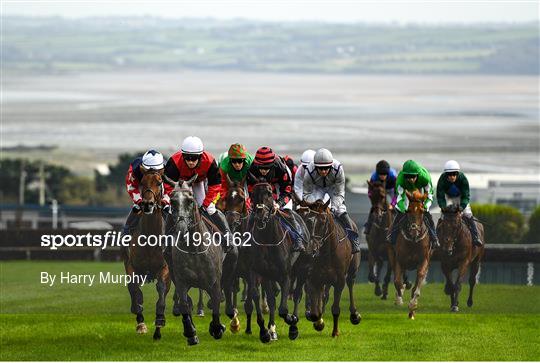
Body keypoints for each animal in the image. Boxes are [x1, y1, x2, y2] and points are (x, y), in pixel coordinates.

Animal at [121, 169, 170, 340]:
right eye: (142, 182)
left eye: (159, 182)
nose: (148, 204)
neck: (150, 236)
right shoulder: (132, 266)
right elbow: (135, 289)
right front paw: (141, 323)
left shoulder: (165, 268)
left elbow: (161, 290)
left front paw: (159, 325)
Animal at [171, 177, 226, 346]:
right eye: (172, 201)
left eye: (190, 200)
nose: (181, 229)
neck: (194, 249)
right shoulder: (181, 281)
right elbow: (184, 304)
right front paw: (191, 333)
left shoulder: (214, 282)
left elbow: (216, 302)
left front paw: (217, 328)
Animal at [248, 181, 300, 344]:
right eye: (253, 194)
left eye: (269, 193)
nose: (260, 216)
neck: (268, 240)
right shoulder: (260, 272)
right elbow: (259, 296)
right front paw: (265, 332)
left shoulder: (286, 274)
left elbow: (283, 309)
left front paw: (291, 319)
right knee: (272, 299)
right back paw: (272, 330)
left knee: (297, 294)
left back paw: (294, 326)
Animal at [298, 199, 360, 338]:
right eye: (307, 220)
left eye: (323, 221)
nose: (311, 248)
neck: (327, 253)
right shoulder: (313, 278)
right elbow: (315, 308)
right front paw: (318, 322)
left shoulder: (339, 281)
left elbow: (335, 308)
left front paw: (335, 332)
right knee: (323, 294)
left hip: (353, 269)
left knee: (351, 283)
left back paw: (354, 314)